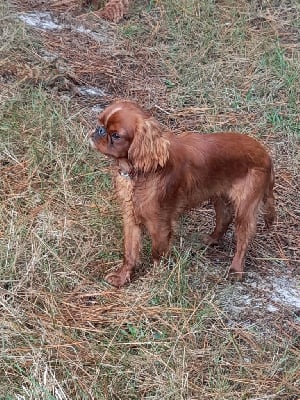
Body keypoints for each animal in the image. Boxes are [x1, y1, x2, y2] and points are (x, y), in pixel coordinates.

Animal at [90, 100, 276, 288]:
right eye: (99, 122)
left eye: (116, 135)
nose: (99, 130)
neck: (140, 172)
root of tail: (266, 155)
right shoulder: (131, 218)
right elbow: (130, 252)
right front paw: (122, 277)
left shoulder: (160, 224)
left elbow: (157, 253)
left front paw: (157, 279)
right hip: (220, 197)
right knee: (224, 218)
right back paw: (211, 239)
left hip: (245, 208)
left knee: (243, 239)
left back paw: (236, 270)